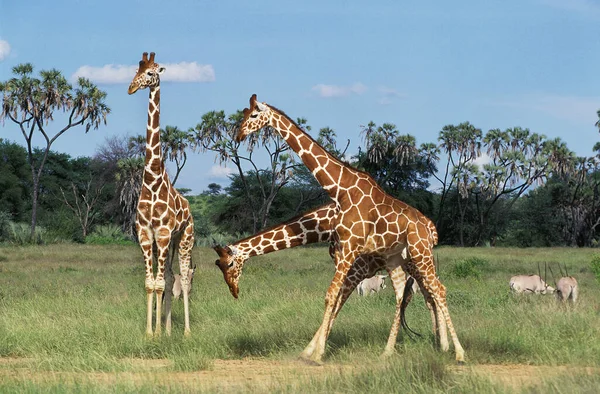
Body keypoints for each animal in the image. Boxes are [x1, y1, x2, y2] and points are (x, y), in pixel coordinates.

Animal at [236, 94, 464, 364]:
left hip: (420, 253)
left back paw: (457, 352)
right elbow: (336, 298)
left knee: (438, 290)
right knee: (406, 294)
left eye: (253, 115)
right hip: (398, 259)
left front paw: (316, 353)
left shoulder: (349, 253)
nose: (238, 135)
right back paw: (392, 350)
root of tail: (430, 229)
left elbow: (332, 296)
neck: (341, 189)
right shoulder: (344, 254)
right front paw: (313, 349)